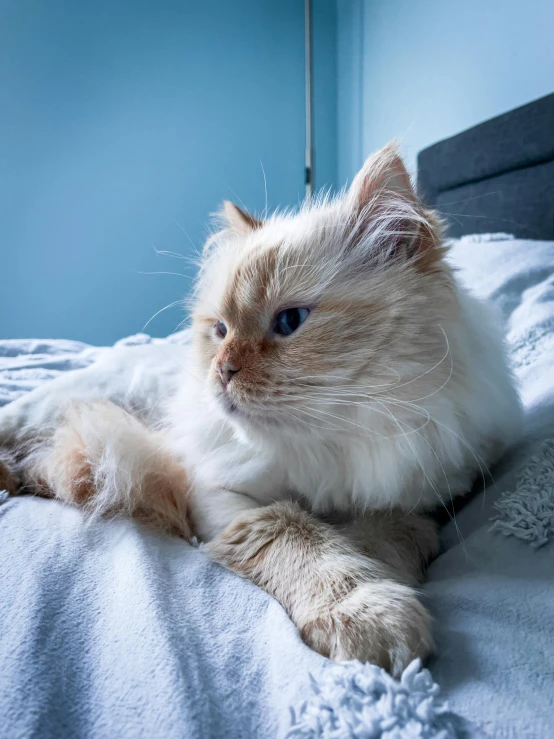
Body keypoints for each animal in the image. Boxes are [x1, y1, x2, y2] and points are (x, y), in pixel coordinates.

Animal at [0, 143, 520, 676]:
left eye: (290, 322)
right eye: (221, 331)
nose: (222, 371)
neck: (332, 447)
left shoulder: (419, 501)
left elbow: (387, 538)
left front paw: (379, 575)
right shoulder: (222, 495)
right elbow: (300, 537)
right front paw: (364, 608)